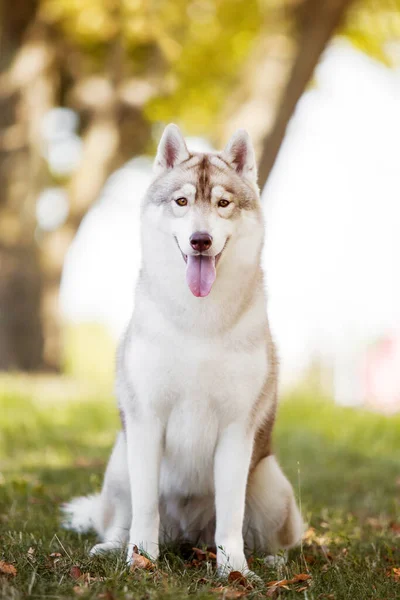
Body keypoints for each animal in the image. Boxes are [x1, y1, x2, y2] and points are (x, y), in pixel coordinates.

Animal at [61, 123, 302, 576]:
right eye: (182, 201)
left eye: (223, 203)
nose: (200, 240)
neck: (199, 321)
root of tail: (189, 537)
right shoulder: (146, 420)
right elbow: (144, 508)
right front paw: (140, 559)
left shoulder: (236, 429)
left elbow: (231, 514)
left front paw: (234, 570)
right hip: (119, 460)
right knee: (120, 517)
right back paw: (112, 546)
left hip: (270, 481)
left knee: (269, 534)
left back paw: (271, 560)